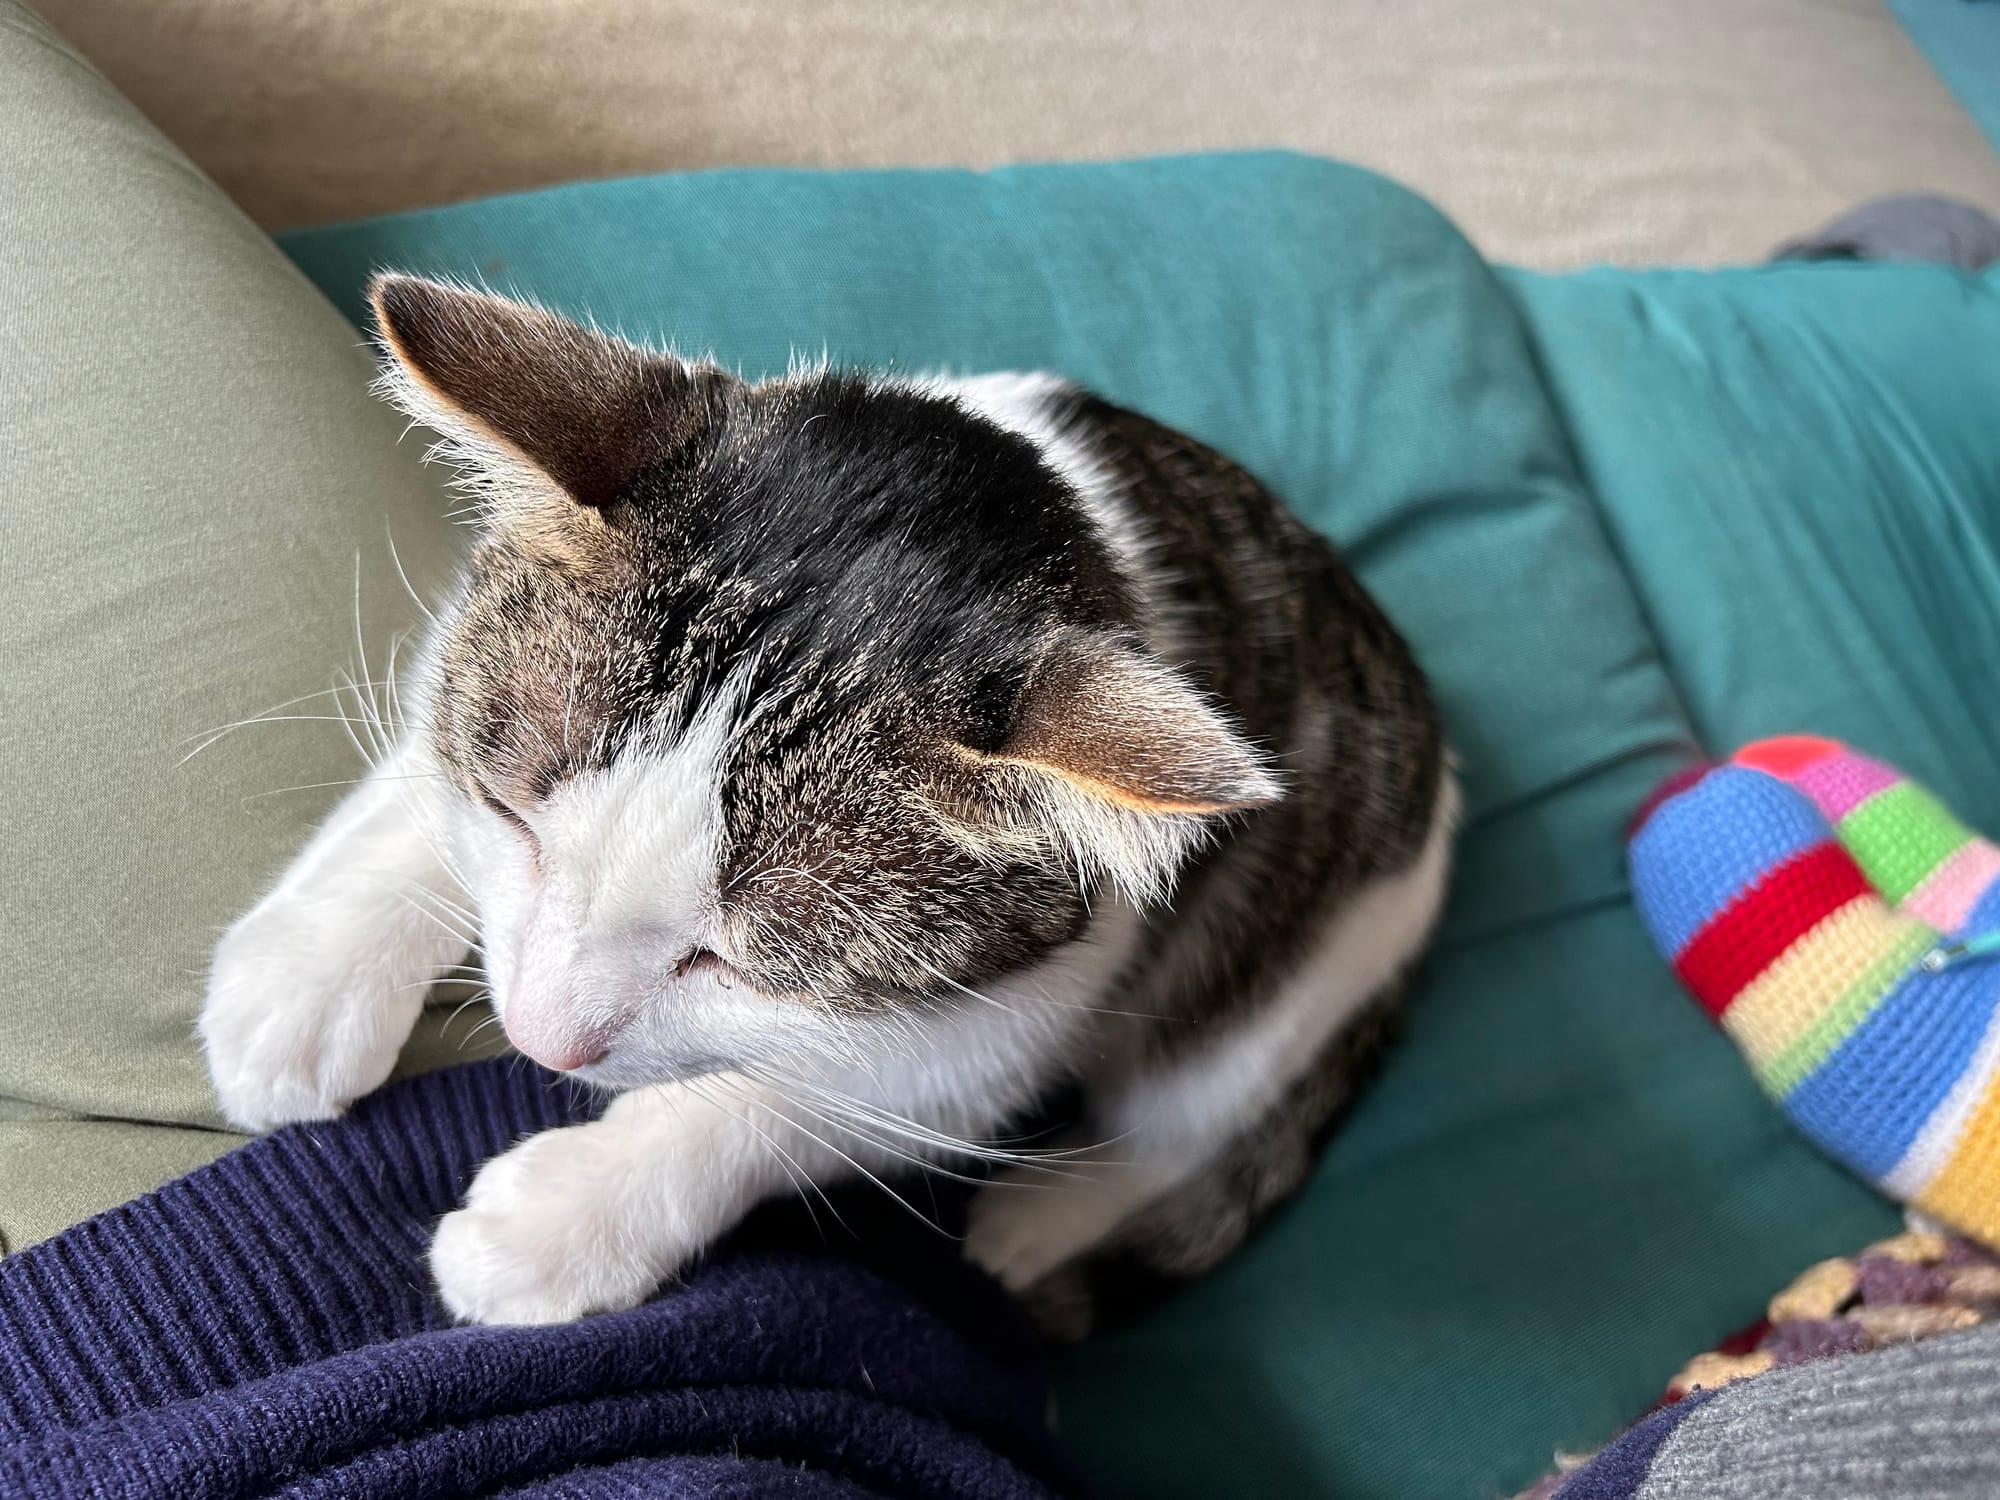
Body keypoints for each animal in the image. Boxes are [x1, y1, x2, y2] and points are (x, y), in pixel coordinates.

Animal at [199, 274, 1456, 1336]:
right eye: (520, 825)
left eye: (738, 966)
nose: (541, 1041)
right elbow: (436, 749)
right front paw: (308, 975)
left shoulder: (1020, 1007)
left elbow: (800, 1102)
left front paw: (570, 1213)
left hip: (1292, 965)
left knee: (1181, 1117)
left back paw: (1034, 1225)